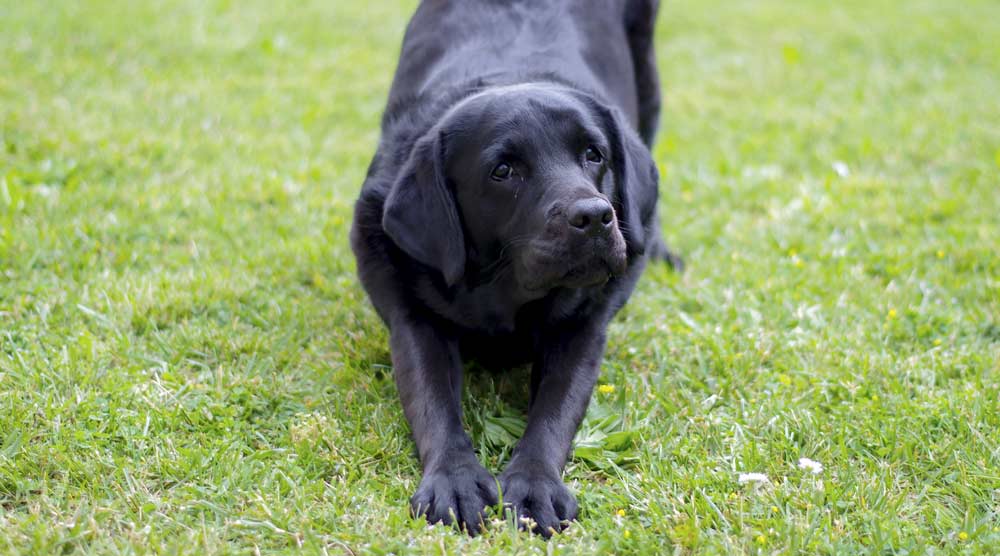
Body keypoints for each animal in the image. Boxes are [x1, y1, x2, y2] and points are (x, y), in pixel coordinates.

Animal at [350, 0, 680, 540]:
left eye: (594, 154)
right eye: (503, 171)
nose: (595, 217)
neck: (503, 292)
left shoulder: (582, 328)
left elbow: (554, 413)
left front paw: (534, 485)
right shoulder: (413, 318)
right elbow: (433, 402)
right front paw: (454, 479)